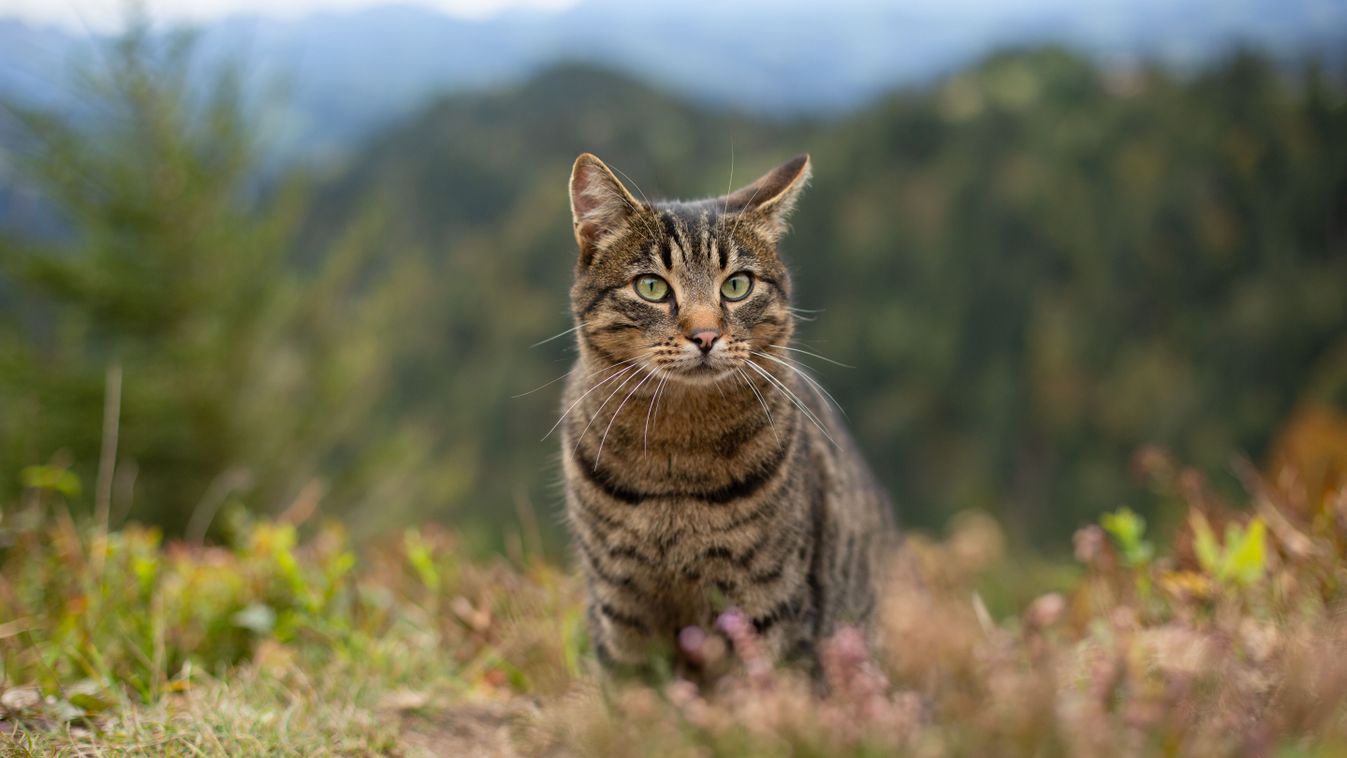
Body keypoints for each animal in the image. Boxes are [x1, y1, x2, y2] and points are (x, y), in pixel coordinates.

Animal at [563, 152, 899, 670]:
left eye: (737, 285)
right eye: (652, 287)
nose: (705, 335)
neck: (677, 455)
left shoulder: (768, 604)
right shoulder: (620, 613)